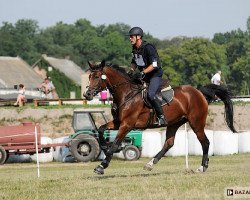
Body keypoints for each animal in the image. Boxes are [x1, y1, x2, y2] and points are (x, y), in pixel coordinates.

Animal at [84, 60, 236, 174]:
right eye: (89, 77)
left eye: (97, 77)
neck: (126, 94)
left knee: (205, 142)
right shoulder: (118, 122)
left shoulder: (127, 124)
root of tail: (199, 92)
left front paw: (102, 165)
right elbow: (101, 129)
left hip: (196, 123)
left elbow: (115, 142)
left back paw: (202, 167)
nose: (87, 95)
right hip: (174, 123)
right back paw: (150, 164)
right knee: (169, 143)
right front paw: (104, 146)